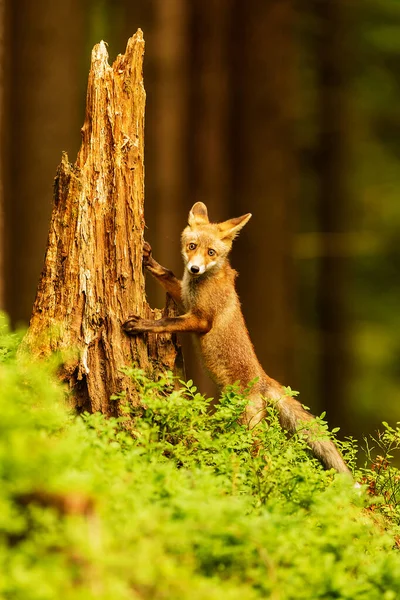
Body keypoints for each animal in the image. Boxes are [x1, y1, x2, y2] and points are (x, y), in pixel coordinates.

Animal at [124, 204, 350, 476]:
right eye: (192, 246)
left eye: (211, 252)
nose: (194, 269)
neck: (202, 282)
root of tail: (263, 378)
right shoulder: (185, 299)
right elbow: (167, 274)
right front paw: (148, 259)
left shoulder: (201, 319)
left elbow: (166, 322)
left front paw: (142, 325)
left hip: (248, 427)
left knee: (264, 457)